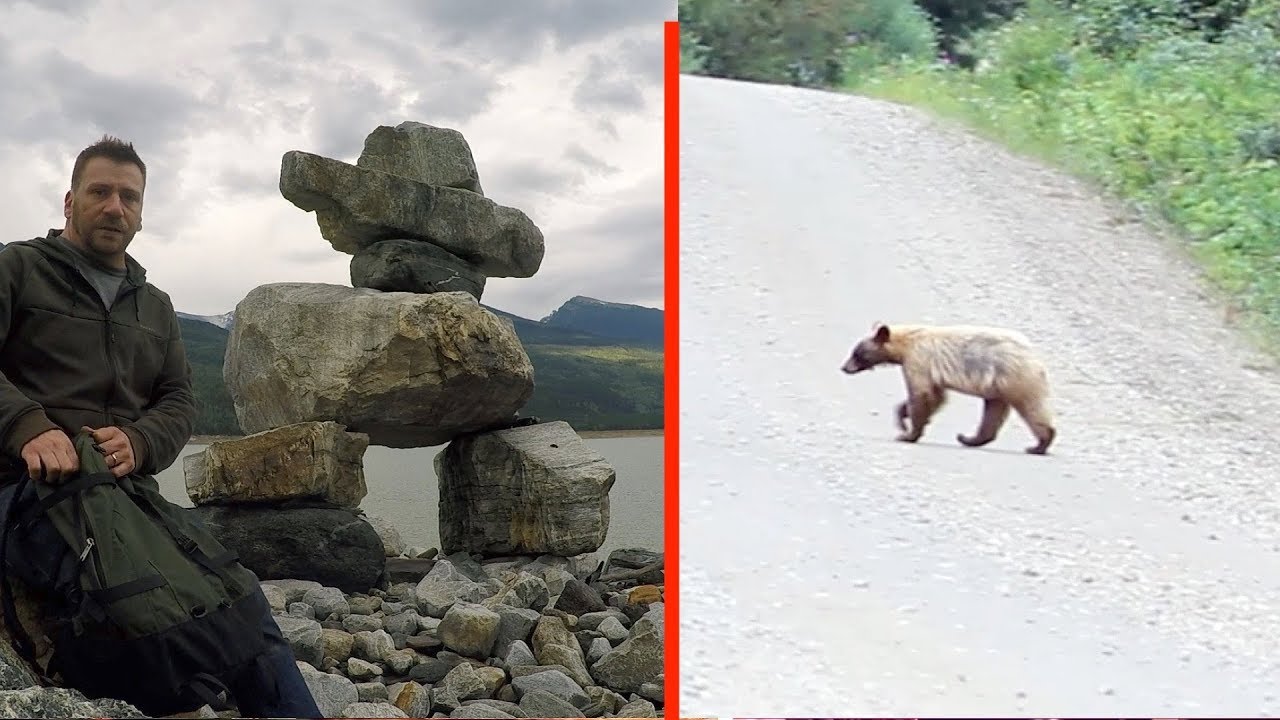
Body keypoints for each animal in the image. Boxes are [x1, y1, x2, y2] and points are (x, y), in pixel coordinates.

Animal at [842, 321, 1056, 455]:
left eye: (857, 353)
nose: (844, 367)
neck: (907, 342)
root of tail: (1036, 358)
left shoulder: (918, 361)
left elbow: (922, 394)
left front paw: (907, 433)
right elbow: (936, 396)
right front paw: (905, 418)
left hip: (1017, 378)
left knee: (1031, 408)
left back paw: (1039, 444)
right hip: (999, 387)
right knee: (993, 413)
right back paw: (969, 439)